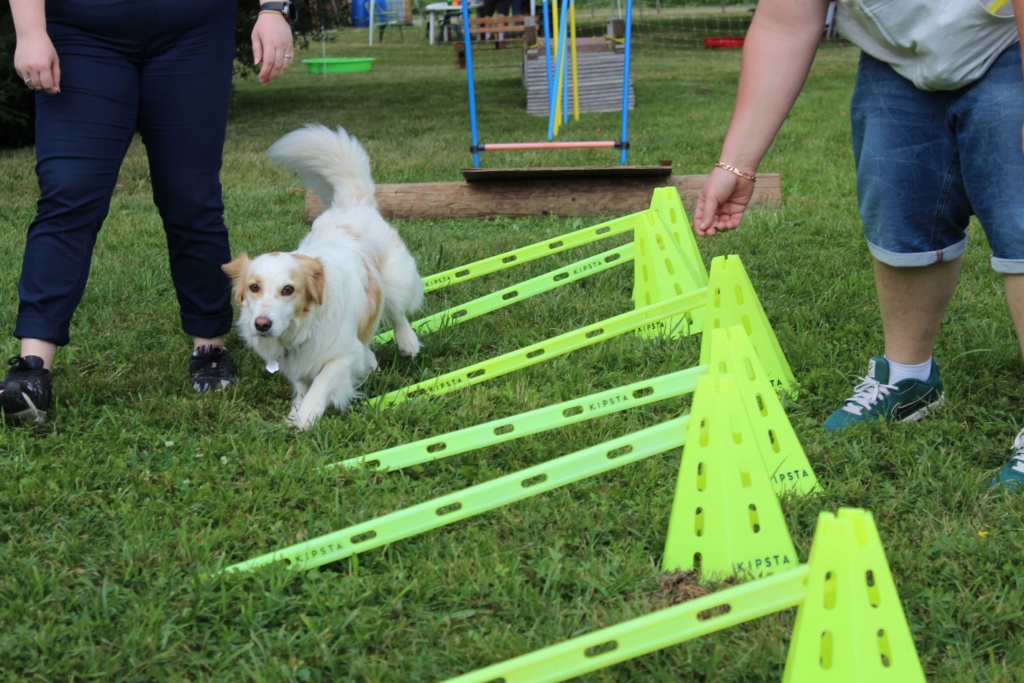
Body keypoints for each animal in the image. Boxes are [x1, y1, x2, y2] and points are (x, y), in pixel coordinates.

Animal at [224, 124, 423, 428]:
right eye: (254, 287)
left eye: (288, 289)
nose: (262, 325)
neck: (302, 327)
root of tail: (351, 203)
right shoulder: (296, 363)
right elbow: (302, 385)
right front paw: (295, 411)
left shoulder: (343, 354)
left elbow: (323, 380)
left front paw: (307, 415)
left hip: (394, 280)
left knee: (397, 312)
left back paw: (408, 343)